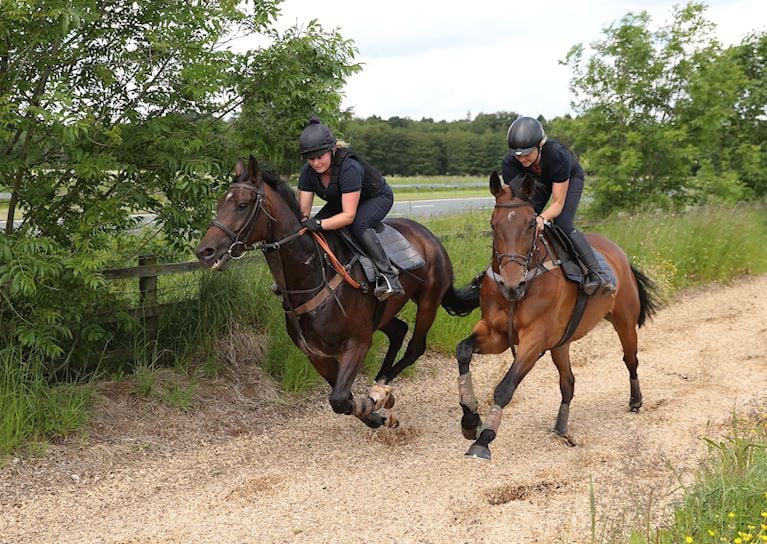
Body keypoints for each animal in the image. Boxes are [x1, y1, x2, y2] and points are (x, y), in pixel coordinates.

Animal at [196, 156, 480, 430]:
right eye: (220, 203)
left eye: (242, 204)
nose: (205, 252)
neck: (312, 276)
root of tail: (431, 237)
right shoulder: (316, 354)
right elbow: (341, 396)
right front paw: (376, 414)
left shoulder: (358, 342)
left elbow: (340, 398)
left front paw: (374, 404)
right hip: (383, 314)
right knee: (398, 330)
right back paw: (381, 382)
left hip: (428, 300)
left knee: (415, 347)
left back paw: (382, 388)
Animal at [456, 172, 660, 462]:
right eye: (493, 225)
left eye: (531, 224)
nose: (512, 284)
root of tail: (620, 254)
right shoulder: (496, 334)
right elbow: (463, 350)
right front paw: (470, 419)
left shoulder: (534, 340)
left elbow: (505, 387)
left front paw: (484, 439)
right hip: (561, 343)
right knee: (568, 382)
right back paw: (562, 426)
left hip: (624, 321)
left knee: (630, 359)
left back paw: (635, 400)